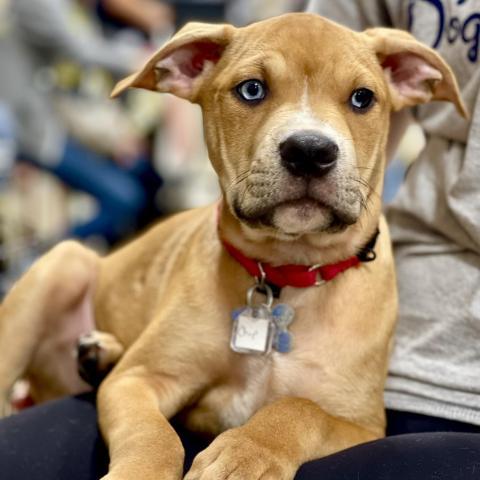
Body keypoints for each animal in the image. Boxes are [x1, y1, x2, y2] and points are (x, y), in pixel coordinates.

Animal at [0, 13, 464, 478]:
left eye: (363, 98)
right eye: (251, 89)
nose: (310, 151)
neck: (285, 274)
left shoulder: (362, 424)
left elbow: (301, 408)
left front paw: (247, 453)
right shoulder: (137, 380)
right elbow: (154, 436)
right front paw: (142, 470)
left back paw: (98, 355)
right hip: (62, 264)